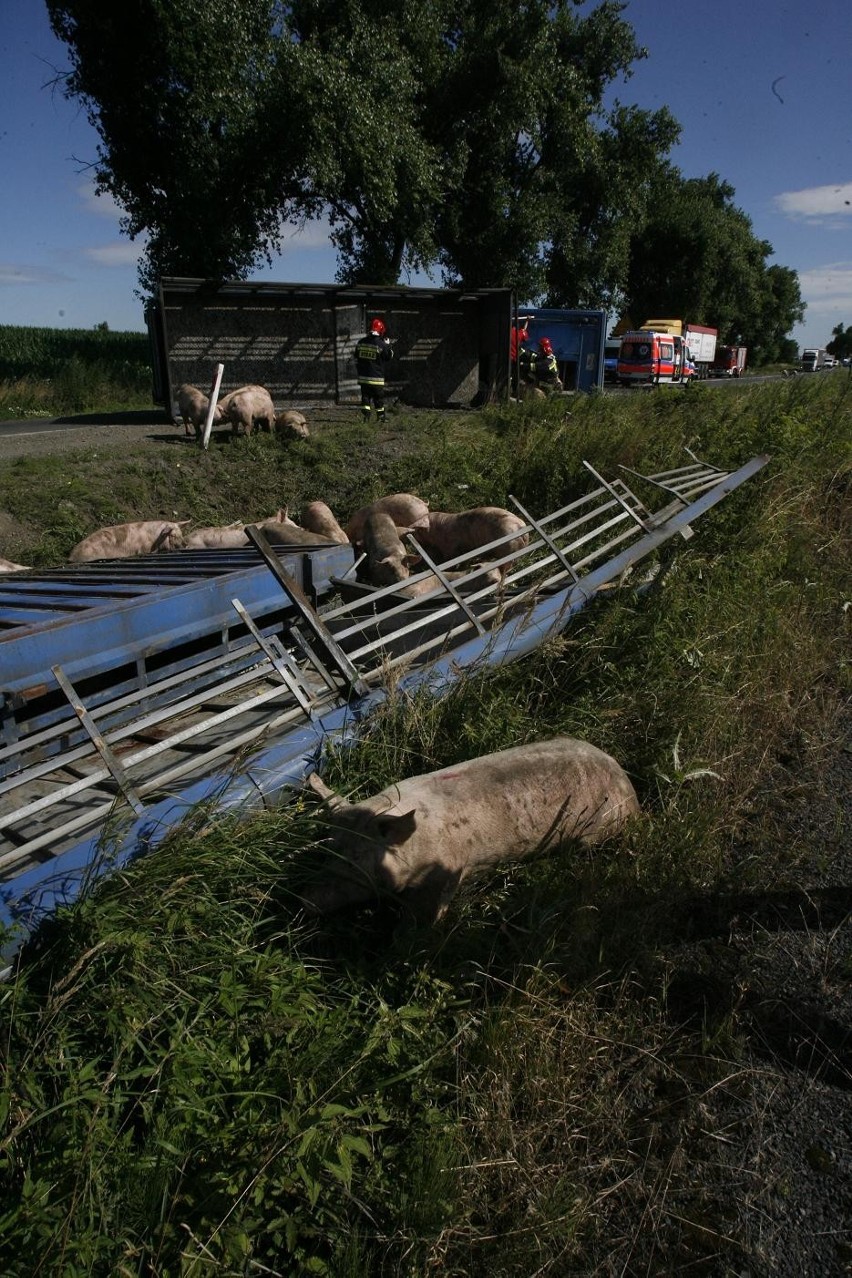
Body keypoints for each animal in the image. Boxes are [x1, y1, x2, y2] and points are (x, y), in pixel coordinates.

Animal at [301, 736, 638, 925]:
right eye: (327, 851)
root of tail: (629, 785)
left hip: (596, 831)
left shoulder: (447, 871)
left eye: (356, 859)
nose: (305, 900)